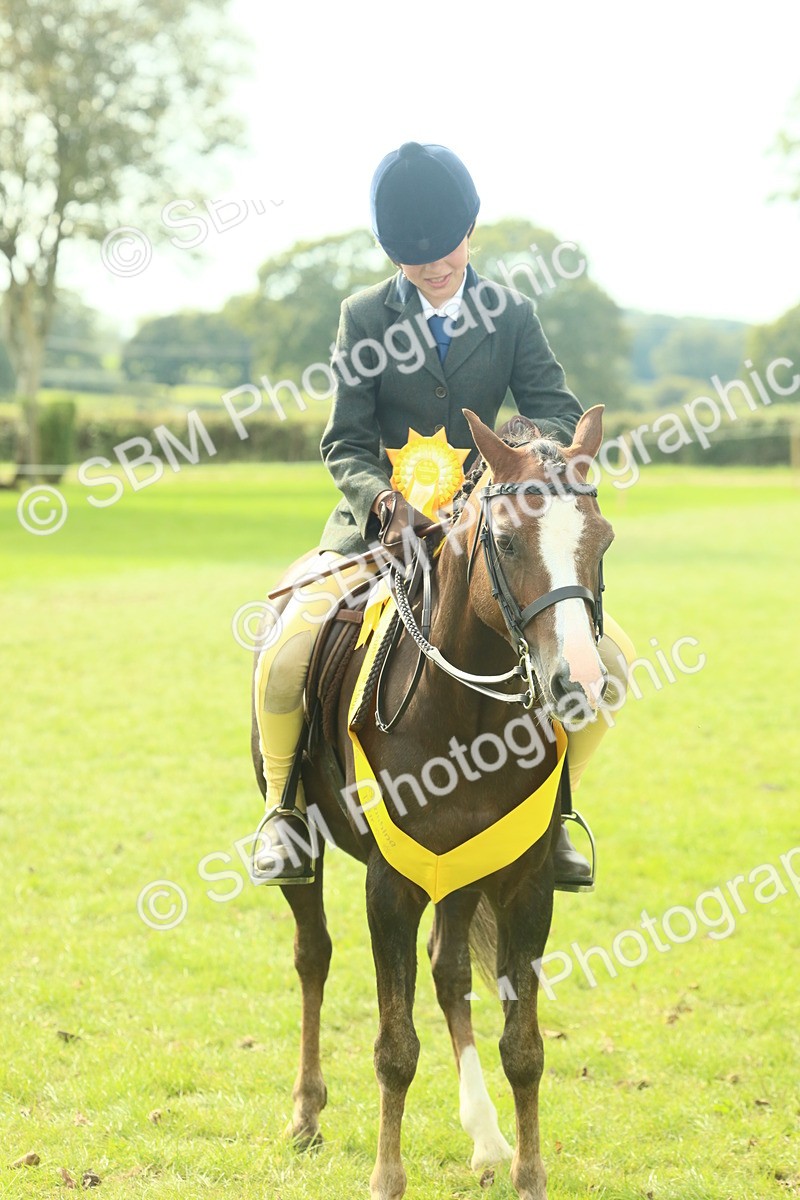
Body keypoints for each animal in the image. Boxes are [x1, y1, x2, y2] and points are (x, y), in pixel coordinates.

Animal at [250, 404, 612, 1200]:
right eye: (505, 541)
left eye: (601, 541)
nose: (578, 683)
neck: (467, 716)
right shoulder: (390, 886)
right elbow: (394, 1047)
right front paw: (388, 1178)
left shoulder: (524, 884)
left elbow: (523, 1047)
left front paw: (528, 1174)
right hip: (313, 849)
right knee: (313, 957)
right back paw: (306, 1114)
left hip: (462, 870)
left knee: (449, 975)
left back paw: (485, 1137)